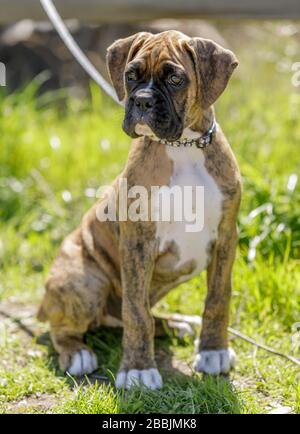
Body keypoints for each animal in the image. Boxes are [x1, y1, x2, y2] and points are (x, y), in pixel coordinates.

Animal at [38, 30, 243, 390]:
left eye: (175, 79)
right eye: (131, 76)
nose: (143, 101)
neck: (182, 146)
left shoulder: (225, 237)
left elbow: (218, 297)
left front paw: (213, 350)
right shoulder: (137, 244)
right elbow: (136, 313)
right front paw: (137, 369)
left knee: (137, 314)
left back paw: (177, 323)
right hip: (84, 281)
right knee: (64, 329)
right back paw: (78, 353)